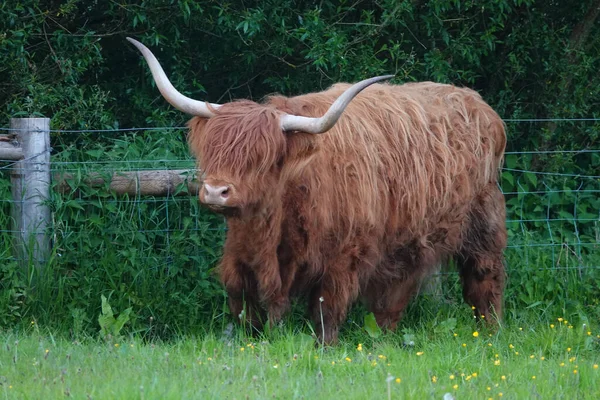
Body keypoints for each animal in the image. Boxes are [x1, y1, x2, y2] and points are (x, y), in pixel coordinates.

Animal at [129, 36, 508, 344]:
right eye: (213, 150)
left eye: (263, 158)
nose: (215, 192)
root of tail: (482, 107)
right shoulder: (241, 258)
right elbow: (247, 308)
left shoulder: (343, 257)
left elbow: (327, 312)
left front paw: (324, 347)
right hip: (409, 242)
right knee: (395, 296)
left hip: (483, 225)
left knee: (485, 280)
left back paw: (490, 335)